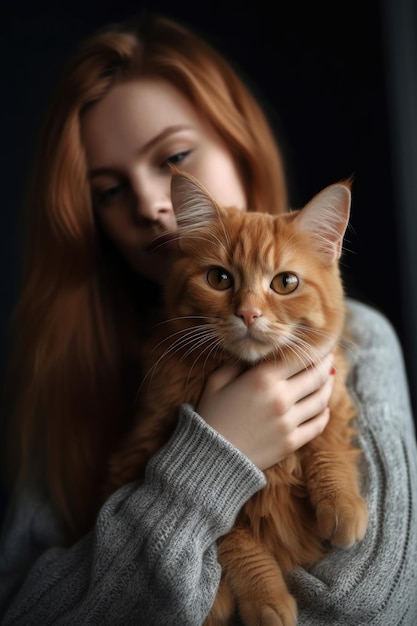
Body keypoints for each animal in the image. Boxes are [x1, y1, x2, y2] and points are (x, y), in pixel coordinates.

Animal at [107, 171, 368, 624]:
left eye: (285, 283)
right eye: (219, 279)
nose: (248, 314)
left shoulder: (329, 390)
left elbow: (328, 445)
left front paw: (344, 506)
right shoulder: (149, 441)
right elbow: (233, 537)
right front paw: (266, 599)